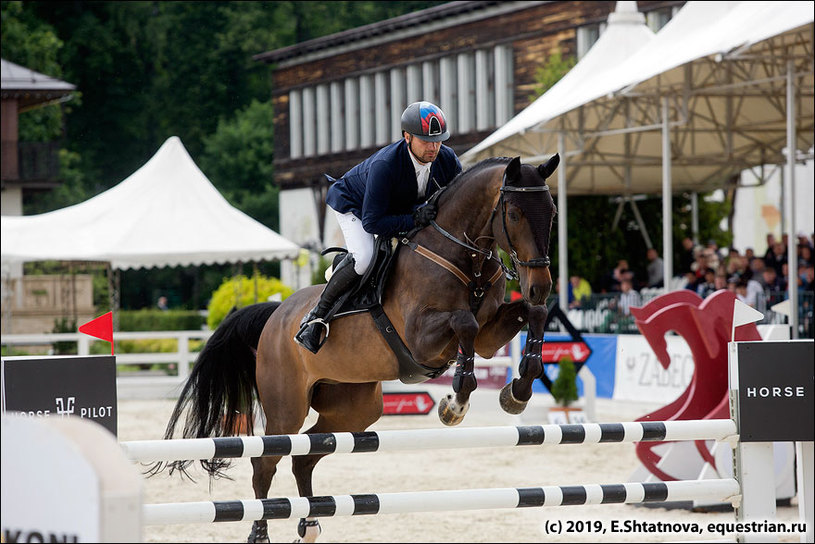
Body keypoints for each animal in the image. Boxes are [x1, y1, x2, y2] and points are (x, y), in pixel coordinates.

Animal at [152, 155, 556, 540]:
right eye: (515, 214)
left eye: (552, 212)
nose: (540, 286)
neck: (463, 257)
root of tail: (275, 315)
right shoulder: (423, 340)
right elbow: (464, 324)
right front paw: (454, 403)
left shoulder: (488, 336)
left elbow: (530, 314)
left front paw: (518, 391)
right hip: (287, 407)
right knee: (267, 460)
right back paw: (261, 533)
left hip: (354, 406)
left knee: (306, 455)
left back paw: (310, 525)